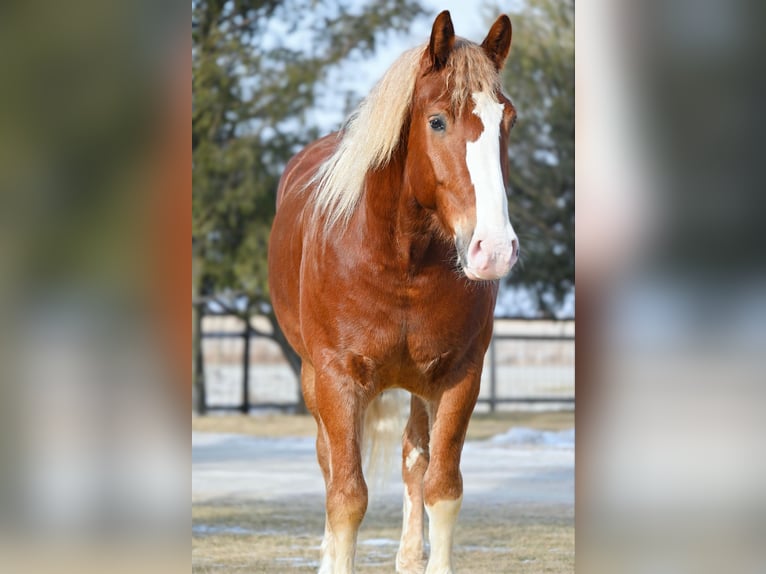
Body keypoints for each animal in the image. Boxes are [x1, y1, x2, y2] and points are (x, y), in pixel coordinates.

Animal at [270, 10, 520, 574]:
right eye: (437, 121)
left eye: (508, 121)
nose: (493, 249)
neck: (401, 262)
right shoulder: (338, 381)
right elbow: (346, 497)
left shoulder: (457, 379)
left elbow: (441, 488)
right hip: (313, 379)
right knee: (329, 462)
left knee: (414, 459)